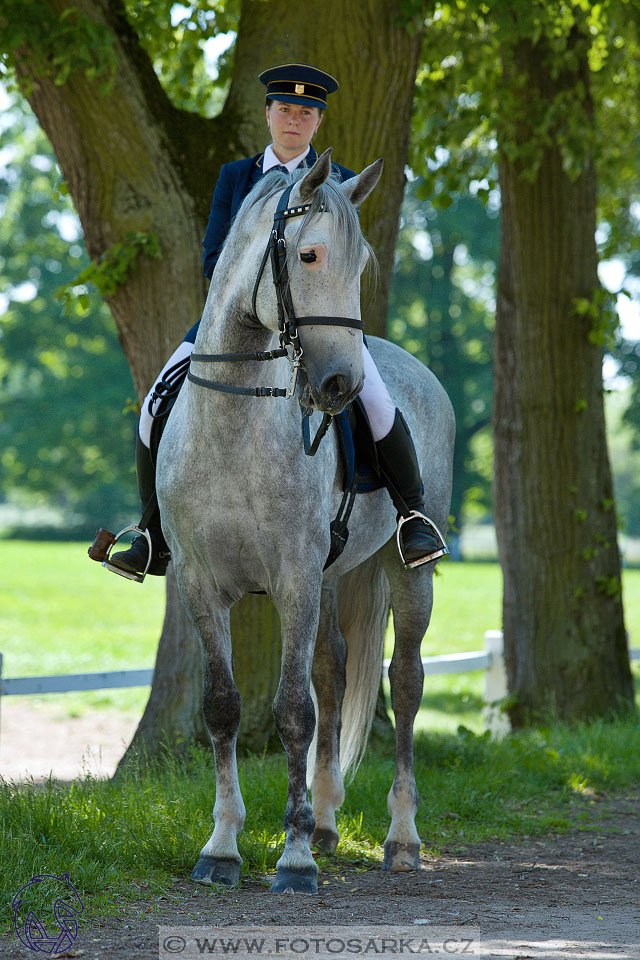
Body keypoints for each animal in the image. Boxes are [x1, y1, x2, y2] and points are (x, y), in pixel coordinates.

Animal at [156, 148, 456, 892]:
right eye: (309, 254)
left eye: (362, 262)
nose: (342, 387)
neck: (235, 420)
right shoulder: (202, 584)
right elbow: (224, 707)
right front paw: (222, 848)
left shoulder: (293, 579)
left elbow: (294, 712)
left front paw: (290, 859)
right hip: (329, 580)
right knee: (334, 672)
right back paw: (323, 823)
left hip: (407, 574)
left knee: (405, 683)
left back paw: (400, 838)